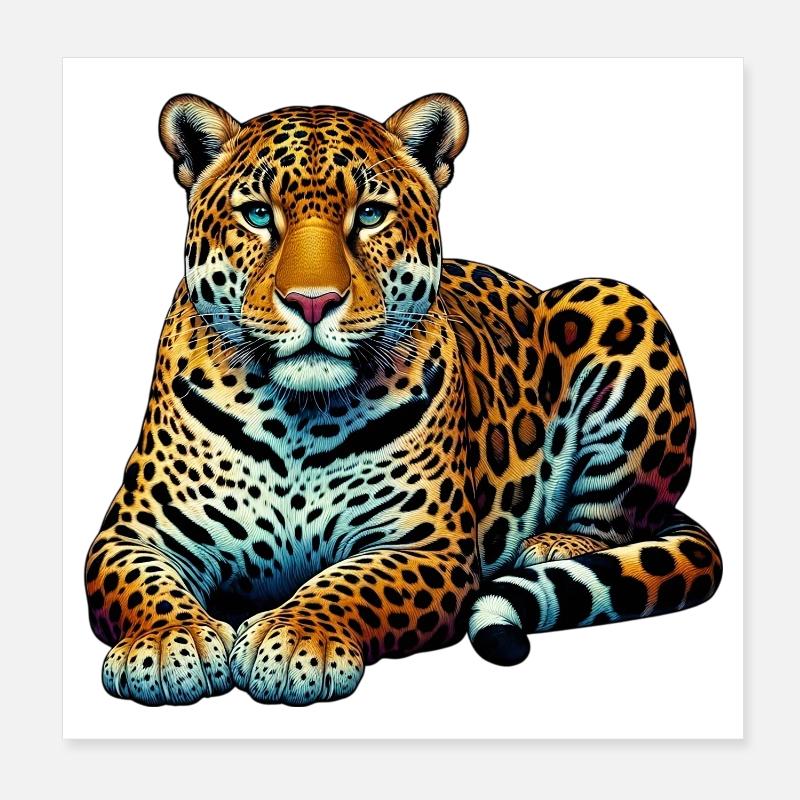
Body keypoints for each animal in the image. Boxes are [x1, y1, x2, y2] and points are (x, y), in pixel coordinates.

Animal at [84, 93, 722, 706]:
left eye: (370, 214)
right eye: (258, 215)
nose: (312, 301)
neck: (296, 417)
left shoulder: (427, 547)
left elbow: (353, 583)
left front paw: (297, 639)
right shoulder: (132, 535)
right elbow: (143, 585)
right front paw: (168, 644)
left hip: (615, 300)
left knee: (621, 518)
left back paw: (552, 544)